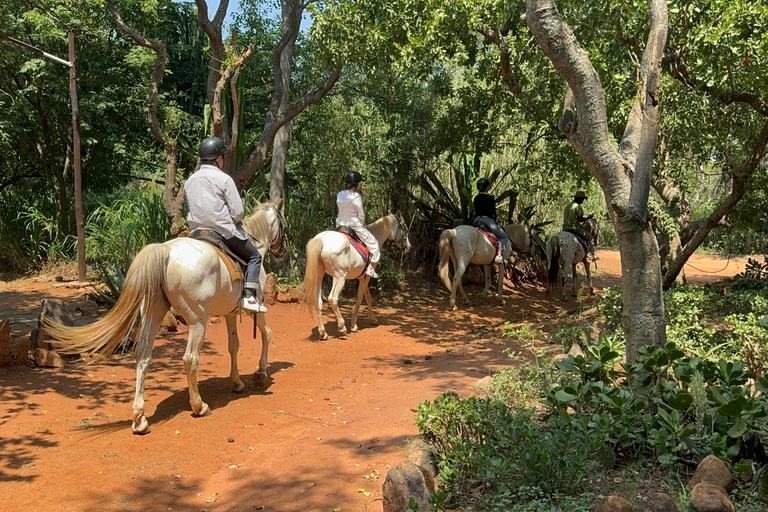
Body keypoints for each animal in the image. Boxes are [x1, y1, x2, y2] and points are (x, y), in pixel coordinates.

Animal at [46, 199, 290, 432]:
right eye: (284, 224)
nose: (282, 253)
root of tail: (166, 251)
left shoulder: (229, 313)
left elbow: (234, 345)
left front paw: (237, 382)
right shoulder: (254, 308)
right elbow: (267, 334)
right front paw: (260, 373)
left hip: (152, 315)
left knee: (143, 356)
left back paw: (140, 418)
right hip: (197, 321)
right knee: (190, 359)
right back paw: (198, 406)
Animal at [304, 212, 412, 340]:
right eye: (404, 228)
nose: (409, 247)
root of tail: (321, 240)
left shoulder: (363, 277)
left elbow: (368, 297)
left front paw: (372, 319)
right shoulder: (366, 277)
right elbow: (360, 298)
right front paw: (354, 325)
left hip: (319, 276)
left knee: (318, 301)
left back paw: (322, 332)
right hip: (340, 277)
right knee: (333, 298)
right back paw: (342, 327)